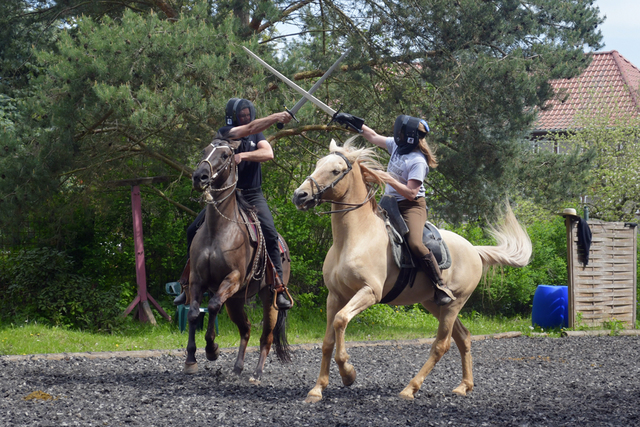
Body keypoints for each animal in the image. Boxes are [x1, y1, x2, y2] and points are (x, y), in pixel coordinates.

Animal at [186, 135, 292, 382]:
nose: (199, 177)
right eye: (204, 150)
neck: (218, 229)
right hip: (234, 302)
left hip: (269, 299)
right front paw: (191, 359)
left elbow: (212, 305)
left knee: (266, 337)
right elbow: (194, 313)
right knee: (246, 329)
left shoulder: (232, 278)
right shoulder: (197, 280)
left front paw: (212, 349)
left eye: (225, 155)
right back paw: (237, 367)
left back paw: (257, 372)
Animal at [290, 139, 528, 402]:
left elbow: (341, 321)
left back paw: (410, 388)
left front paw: (348, 373)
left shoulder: (369, 293)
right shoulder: (335, 296)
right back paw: (464, 386)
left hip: (454, 303)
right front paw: (317, 389)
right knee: (463, 336)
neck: (353, 238)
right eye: (317, 164)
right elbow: (328, 341)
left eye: (335, 170)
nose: (299, 195)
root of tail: (474, 250)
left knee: (441, 345)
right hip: (434, 304)